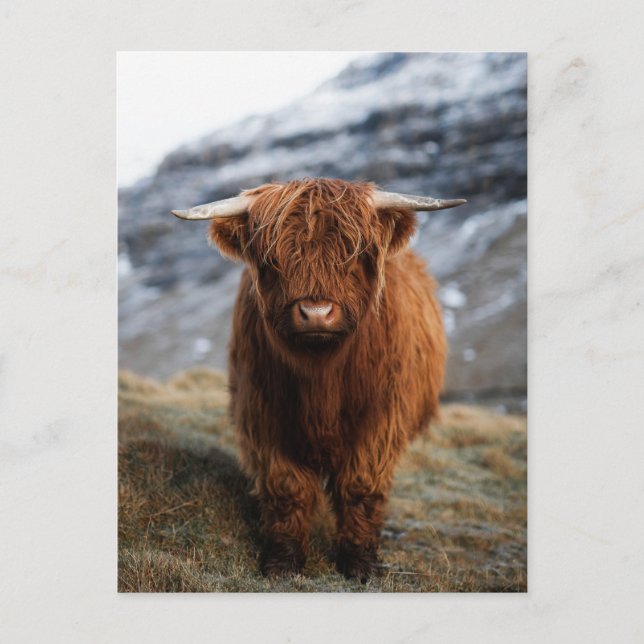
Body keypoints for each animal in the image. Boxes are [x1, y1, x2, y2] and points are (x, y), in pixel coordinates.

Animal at [172, 178, 466, 581]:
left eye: (353, 255)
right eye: (273, 260)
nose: (315, 312)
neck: (321, 377)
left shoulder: (380, 423)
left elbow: (360, 487)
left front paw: (359, 565)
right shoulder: (265, 418)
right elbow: (286, 488)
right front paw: (282, 563)